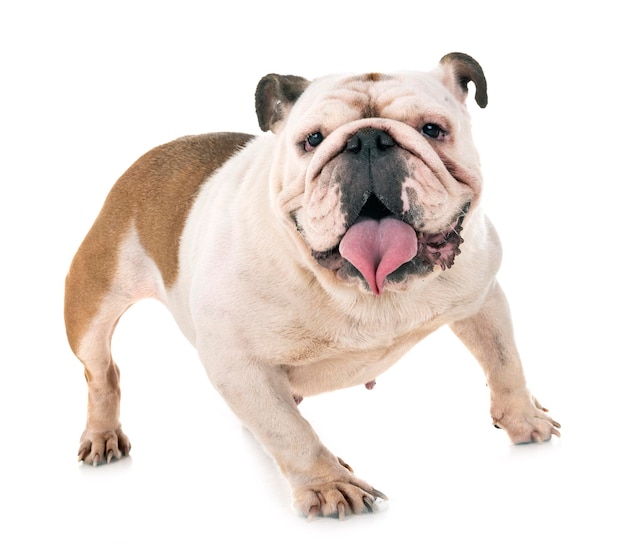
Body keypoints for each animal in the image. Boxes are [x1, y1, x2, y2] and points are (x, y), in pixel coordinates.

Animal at [66, 53, 560, 516]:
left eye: (433, 130)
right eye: (313, 140)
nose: (368, 140)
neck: (366, 291)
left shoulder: (483, 297)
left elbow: (505, 362)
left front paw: (523, 418)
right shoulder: (238, 365)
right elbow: (290, 432)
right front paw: (328, 484)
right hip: (91, 304)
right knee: (102, 372)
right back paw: (103, 434)